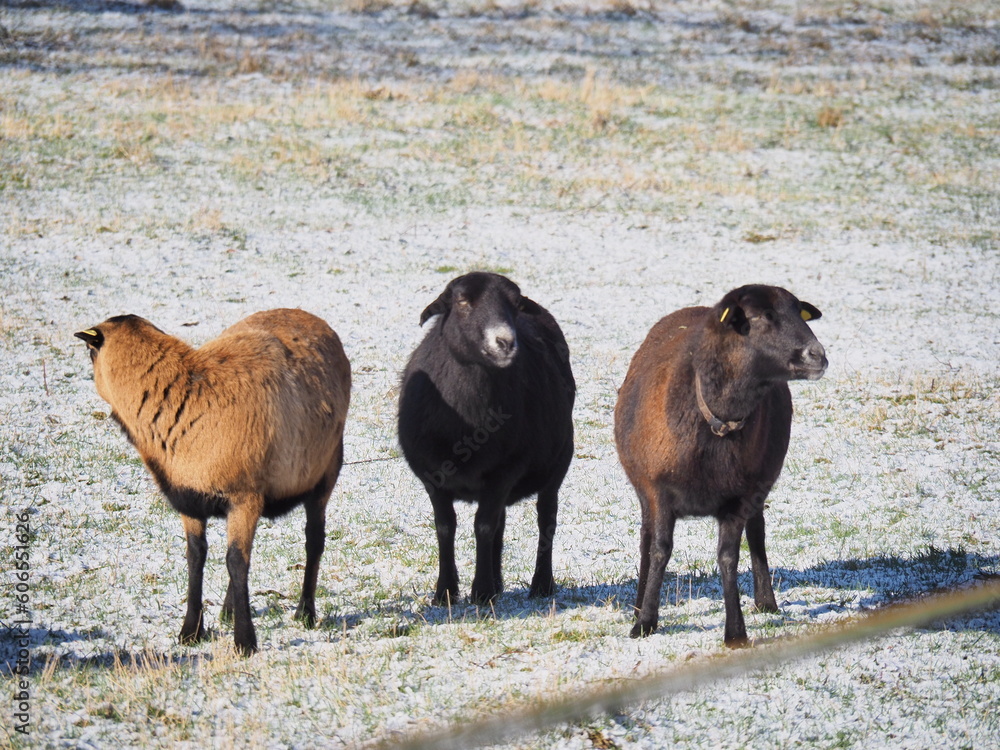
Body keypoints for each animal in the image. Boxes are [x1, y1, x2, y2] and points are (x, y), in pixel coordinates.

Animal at [75, 309, 351, 655]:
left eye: (90, 352)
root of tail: (308, 315)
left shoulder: (244, 497)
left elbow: (236, 561)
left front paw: (244, 642)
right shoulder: (190, 498)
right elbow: (197, 557)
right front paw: (190, 632)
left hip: (326, 470)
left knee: (313, 540)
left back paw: (305, 612)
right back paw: (228, 610)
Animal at [397, 272, 575, 605]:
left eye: (515, 304)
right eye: (461, 301)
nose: (505, 342)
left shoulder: (506, 469)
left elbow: (483, 526)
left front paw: (480, 591)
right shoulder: (432, 475)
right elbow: (446, 527)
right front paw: (446, 592)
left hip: (556, 465)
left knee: (546, 520)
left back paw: (541, 585)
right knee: (500, 524)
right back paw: (499, 582)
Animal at [614, 285, 826, 647]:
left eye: (800, 313)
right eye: (762, 317)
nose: (818, 356)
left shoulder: (739, 498)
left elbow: (728, 557)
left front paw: (736, 632)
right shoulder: (658, 491)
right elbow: (659, 550)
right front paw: (645, 622)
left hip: (759, 483)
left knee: (758, 531)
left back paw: (766, 601)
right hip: (644, 490)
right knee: (645, 538)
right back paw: (639, 605)